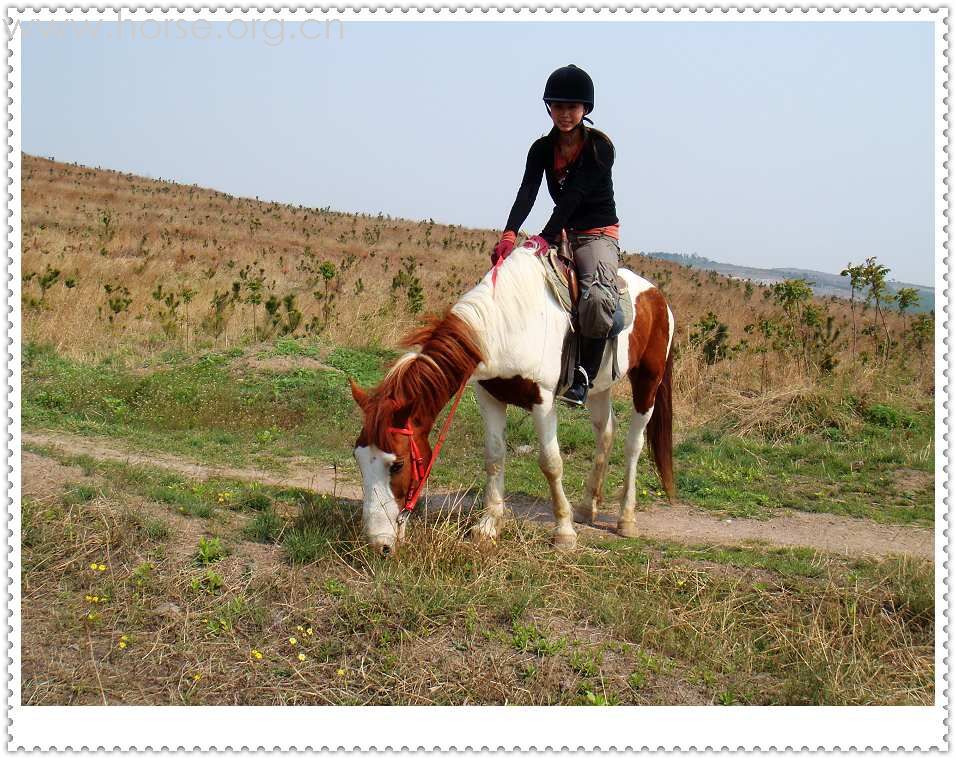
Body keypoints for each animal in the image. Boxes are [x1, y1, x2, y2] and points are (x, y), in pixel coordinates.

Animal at [350, 243, 672, 560]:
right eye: (359, 459)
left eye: (397, 465)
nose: (378, 545)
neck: (507, 324)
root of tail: (657, 296)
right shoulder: (489, 396)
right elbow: (494, 457)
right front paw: (488, 526)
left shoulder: (543, 401)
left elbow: (551, 463)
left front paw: (564, 532)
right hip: (599, 388)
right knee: (605, 431)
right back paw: (586, 507)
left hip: (648, 381)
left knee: (633, 444)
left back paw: (626, 519)